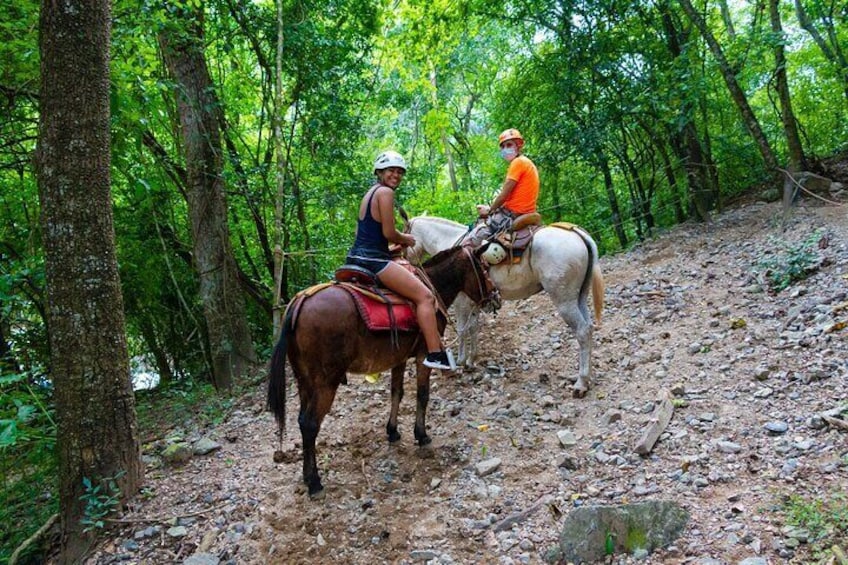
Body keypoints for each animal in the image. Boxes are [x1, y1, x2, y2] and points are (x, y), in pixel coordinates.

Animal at [268, 245, 500, 496]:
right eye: (484, 268)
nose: (495, 297)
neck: (433, 287)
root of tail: (299, 302)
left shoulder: (399, 358)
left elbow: (396, 393)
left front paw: (392, 431)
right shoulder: (422, 355)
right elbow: (422, 395)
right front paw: (421, 435)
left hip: (305, 380)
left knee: (302, 421)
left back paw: (306, 475)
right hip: (325, 383)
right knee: (310, 424)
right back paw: (314, 482)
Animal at [404, 215, 604, 396]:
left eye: (405, 234)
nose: (406, 264)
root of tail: (576, 232)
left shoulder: (461, 301)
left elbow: (462, 329)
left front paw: (460, 361)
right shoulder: (475, 302)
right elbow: (473, 328)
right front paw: (470, 361)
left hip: (564, 301)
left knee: (582, 331)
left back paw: (581, 383)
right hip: (579, 297)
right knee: (589, 327)